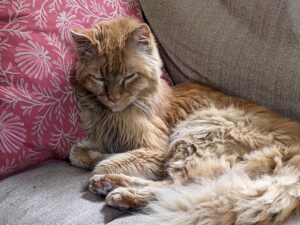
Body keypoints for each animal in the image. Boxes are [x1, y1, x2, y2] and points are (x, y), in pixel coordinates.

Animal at [69, 18, 300, 225]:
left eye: (128, 77)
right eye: (99, 78)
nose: (113, 98)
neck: (113, 114)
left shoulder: (156, 151)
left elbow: (112, 161)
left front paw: (101, 166)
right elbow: (82, 153)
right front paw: (91, 155)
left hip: (199, 130)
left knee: (180, 188)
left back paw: (118, 192)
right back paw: (108, 184)